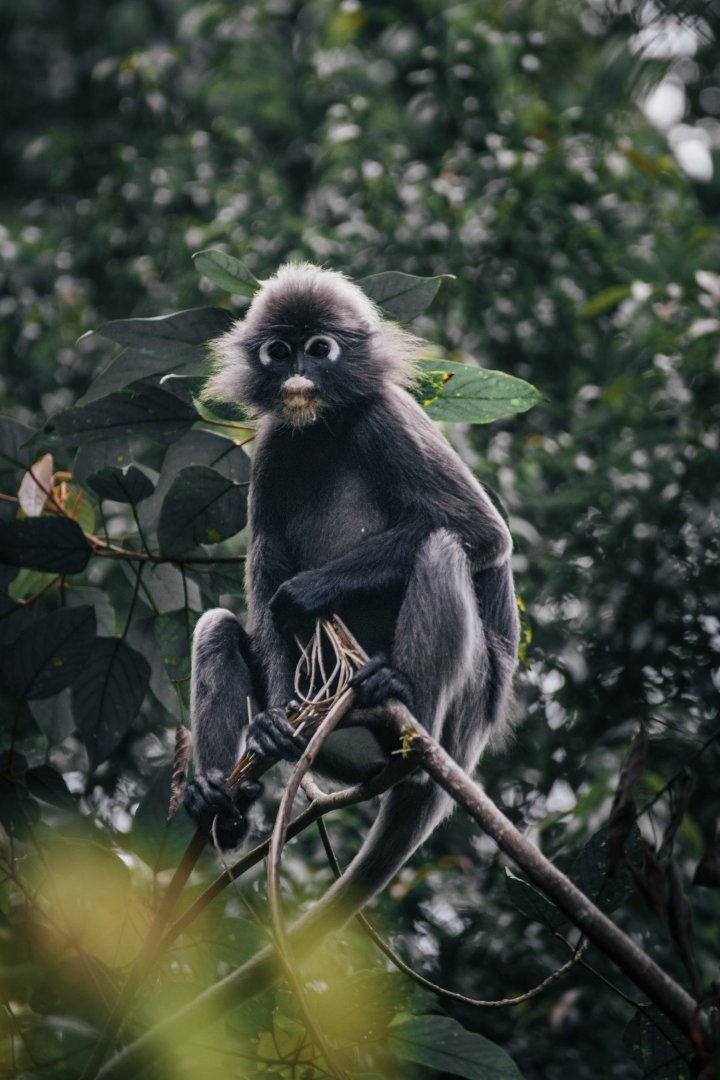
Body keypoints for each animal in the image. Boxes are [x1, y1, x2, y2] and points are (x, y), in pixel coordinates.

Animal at [184, 262, 519, 917]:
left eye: (320, 349)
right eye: (279, 351)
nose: (297, 373)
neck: (324, 429)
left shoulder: (389, 415)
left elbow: (480, 531)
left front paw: (310, 591)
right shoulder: (271, 446)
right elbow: (263, 586)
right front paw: (271, 720)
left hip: (467, 707)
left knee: (440, 547)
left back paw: (405, 711)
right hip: (338, 741)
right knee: (216, 627)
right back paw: (220, 804)